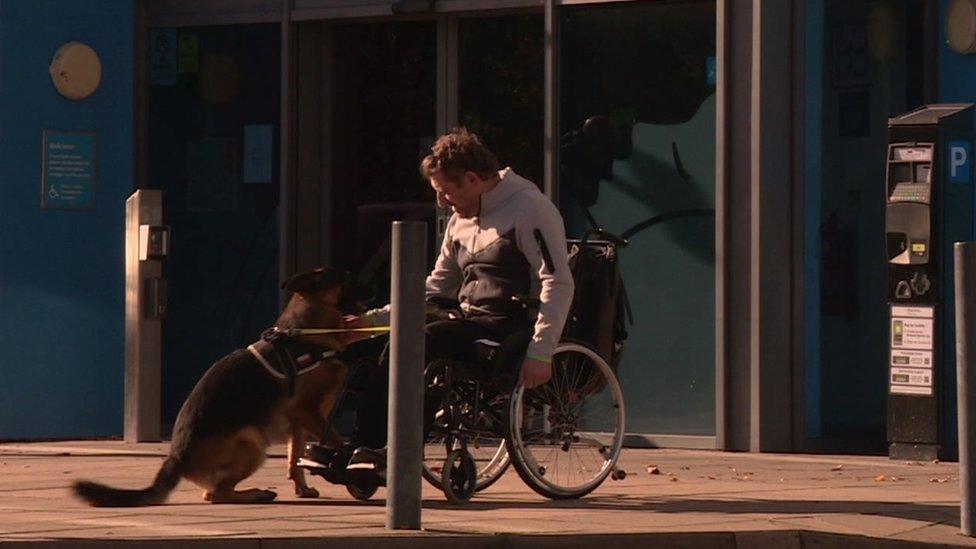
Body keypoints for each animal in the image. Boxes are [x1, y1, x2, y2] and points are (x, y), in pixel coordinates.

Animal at [73, 268, 354, 504]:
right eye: (344, 278)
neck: (304, 334)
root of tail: (176, 458)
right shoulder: (306, 412)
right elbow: (336, 441)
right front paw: (349, 464)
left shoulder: (299, 423)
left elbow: (294, 459)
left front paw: (302, 488)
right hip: (252, 443)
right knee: (216, 494)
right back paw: (256, 494)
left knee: (213, 492)